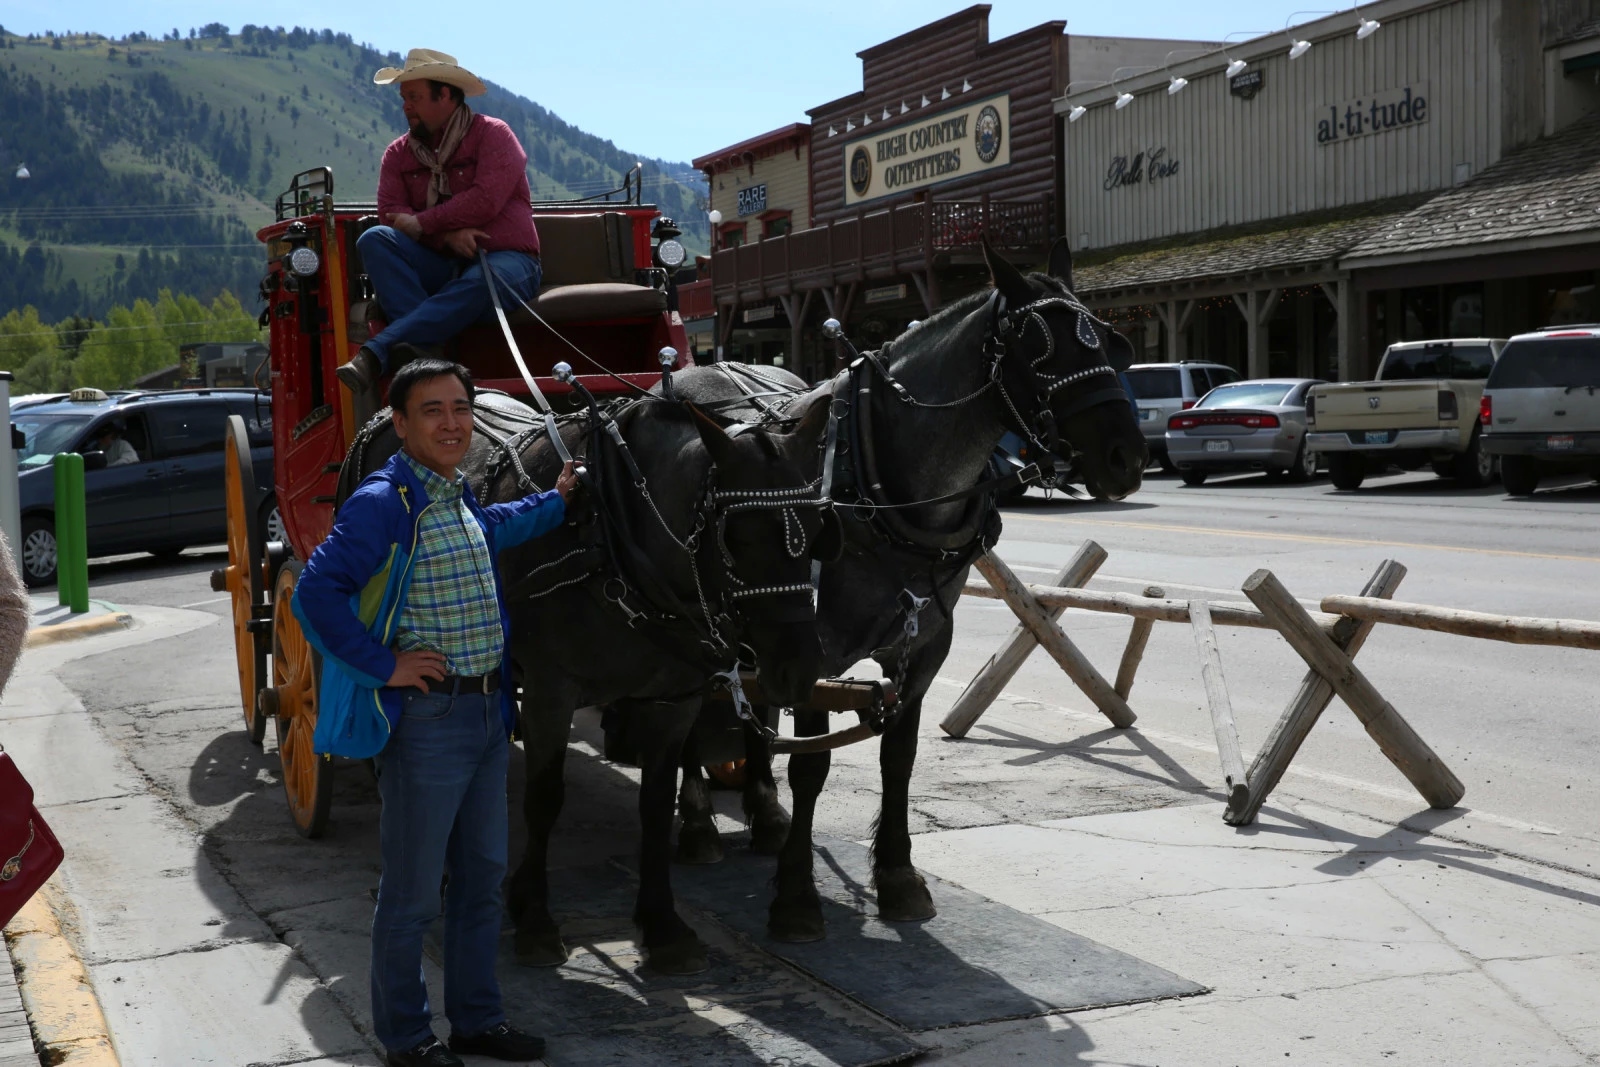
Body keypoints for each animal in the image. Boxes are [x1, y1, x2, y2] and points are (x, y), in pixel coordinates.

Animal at [340, 388, 838, 972]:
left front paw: (662, 924)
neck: (616, 534)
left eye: (818, 531)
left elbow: (655, 802)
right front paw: (535, 918)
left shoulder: (674, 700)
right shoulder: (551, 693)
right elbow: (544, 798)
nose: (798, 669)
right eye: (733, 536)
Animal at [668, 241, 1145, 940]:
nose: (1126, 458)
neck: (880, 487)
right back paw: (700, 821)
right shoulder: (818, 646)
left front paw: (896, 876)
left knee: (750, 704)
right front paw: (796, 896)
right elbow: (811, 764)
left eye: (1113, 341)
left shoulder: (923, 646)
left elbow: (900, 757)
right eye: (1038, 348)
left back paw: (762, 809)